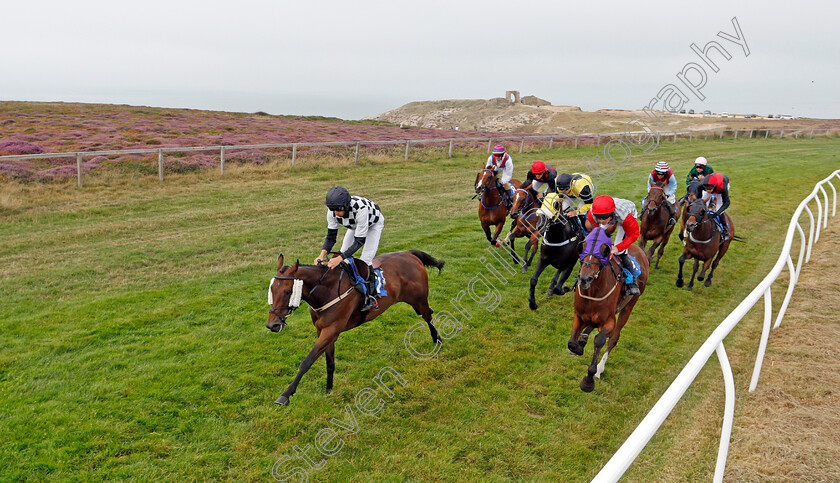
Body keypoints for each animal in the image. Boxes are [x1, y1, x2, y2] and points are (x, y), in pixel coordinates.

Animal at [270, 250, 442, 404]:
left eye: (287, 291)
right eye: (271, 289)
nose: (272, 324)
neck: (327, 290)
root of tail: (409, 253)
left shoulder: (331, 330)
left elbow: (307, 361)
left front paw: (286, 395)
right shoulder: (323, 331)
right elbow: (329, 363)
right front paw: (329, 389)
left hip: (419, 300)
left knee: (428, 316)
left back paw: (437, 340)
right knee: (429, 314)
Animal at [568, 228, 652, 394]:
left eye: (604, 251)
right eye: (582, 246)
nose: (584, 278)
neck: (592, 292)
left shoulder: (609, 320)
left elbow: (600, 339)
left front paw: (589, 378)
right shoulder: (579, 316)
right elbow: (572, 343)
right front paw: (579, 345)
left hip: (629, 305)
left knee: (613, 337)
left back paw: (600, 368)